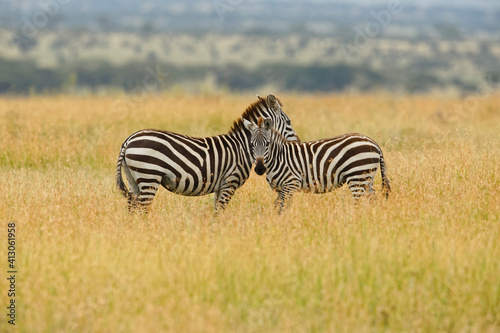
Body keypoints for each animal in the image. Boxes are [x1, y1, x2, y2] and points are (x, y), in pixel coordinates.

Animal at [115, 94, 298, 213]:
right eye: (289, 122)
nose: (297, 141)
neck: (242, 147)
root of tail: (129, 140)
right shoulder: (229, 182)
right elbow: (219, 212)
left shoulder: (220, 185)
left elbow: (216, 210)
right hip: (149, 176)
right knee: (142, 210)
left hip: (133, 180)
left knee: (133, 208)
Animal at [242, 116, 390, 214]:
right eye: (252, 145)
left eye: (267, 144)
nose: (259, 169)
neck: (278, 158)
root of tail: (373, 143)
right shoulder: (281, 188)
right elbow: (280, 206)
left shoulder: (291, 183)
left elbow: (281, 207)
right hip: (367, 178)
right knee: (374, 200)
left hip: (357, 177)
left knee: (357, 203)